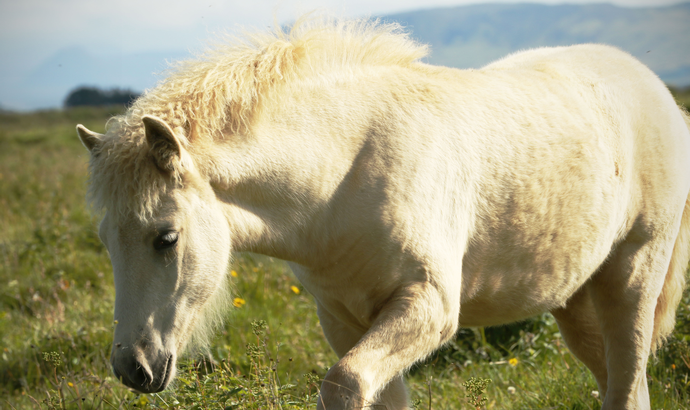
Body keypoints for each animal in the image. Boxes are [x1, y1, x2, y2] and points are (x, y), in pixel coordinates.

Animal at [76, 17, 688, 410]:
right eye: (107, 242)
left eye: (166, 238)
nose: (133, 368)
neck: (343, 176)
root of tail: (658, 94)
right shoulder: (345, 319)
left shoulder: (428, 307)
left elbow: (343, 386)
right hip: (577, 302)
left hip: (630, 282)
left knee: (626, 385)